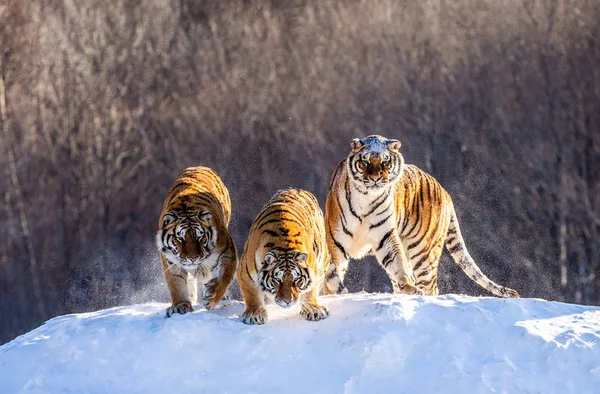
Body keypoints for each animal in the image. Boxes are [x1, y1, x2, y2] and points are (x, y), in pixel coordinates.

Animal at [156, 166, 238, 318]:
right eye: (180, 238)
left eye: (200, 237)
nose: (193, 258)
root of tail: (200, 166)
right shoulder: (170, 261)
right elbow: (176, 284)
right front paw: (180, 306)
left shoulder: (227, 250)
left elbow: (225, 276)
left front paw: (211, 297)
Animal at [238, 189, 330, 324]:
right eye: (277, 280)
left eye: (296, 279)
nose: (288, 301)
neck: (284, 245)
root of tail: (297, 189)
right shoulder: (244, 273)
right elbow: (252, 294)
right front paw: (254, 314)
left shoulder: (313, 267)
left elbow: (310, 290)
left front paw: (314, 310)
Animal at [324, 135, 520, 298]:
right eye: (364, 162)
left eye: (386, 162)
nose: (374, 178)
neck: (366, 197)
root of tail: (445, 192)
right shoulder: (335, 240)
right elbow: (334, 270)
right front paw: (331, 293)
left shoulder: (385, 236)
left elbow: (398, 264)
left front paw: (409, 287)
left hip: (423, 252)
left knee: (430, 286)